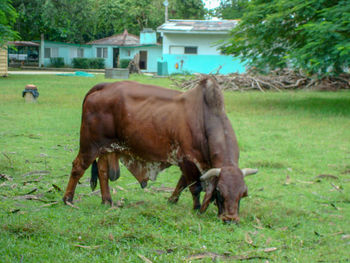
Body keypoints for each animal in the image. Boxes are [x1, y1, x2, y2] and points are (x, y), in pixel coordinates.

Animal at [62, 76, 258, 223]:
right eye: (219, 192)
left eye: (243, 194)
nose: (230, 219)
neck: (204, 120)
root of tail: (103, 86)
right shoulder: (186, 160)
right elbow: (195, 187)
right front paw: (196, 209)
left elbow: (182, 183)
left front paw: (172, 200)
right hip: (89, 145)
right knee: (78, 167)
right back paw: (68, 199)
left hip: (106, 148)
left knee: (102, 172)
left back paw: (107, 201)